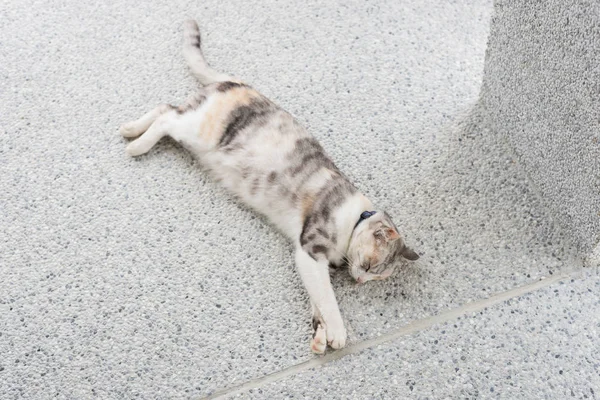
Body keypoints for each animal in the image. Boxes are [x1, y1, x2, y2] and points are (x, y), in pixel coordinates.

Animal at [119, 19, 420, 354]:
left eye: (374, 278)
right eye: (368, 266)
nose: (357, 281)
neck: (355, 216)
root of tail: (240, 83)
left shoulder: (309, 260)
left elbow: (317, 300)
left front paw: (319, 336)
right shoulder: (309, 249)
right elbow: (328, 298)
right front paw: (338, 334)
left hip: (193, 130)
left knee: (166, 108)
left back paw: (131, 129)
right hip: (199, 131)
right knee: (167, 117)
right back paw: (136, 143)